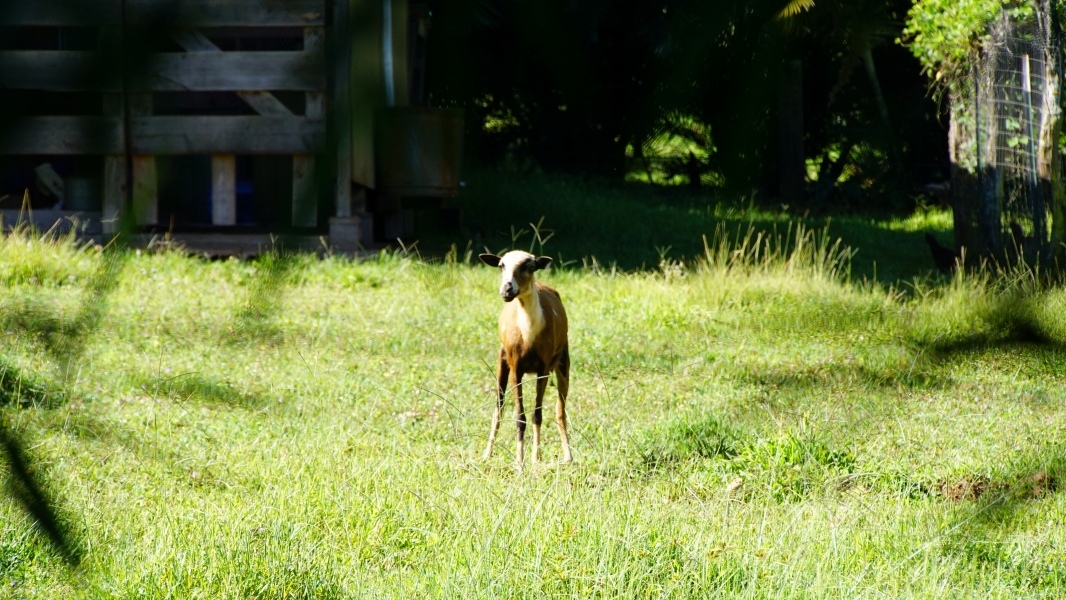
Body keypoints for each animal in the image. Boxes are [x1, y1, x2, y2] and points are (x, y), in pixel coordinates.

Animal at [479, 250, 573, 466]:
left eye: (529, 266)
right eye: (501, 265)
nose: (507, 289)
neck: (529, 335)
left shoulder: (543, 367)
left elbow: (537, 414)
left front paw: (534, 459)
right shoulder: (516, 367)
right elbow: (519, 417)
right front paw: (519, 463)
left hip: (563, 361)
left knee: (560, 410)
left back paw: (566, 457)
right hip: (501, 361)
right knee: (499, 406)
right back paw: (487, 454)